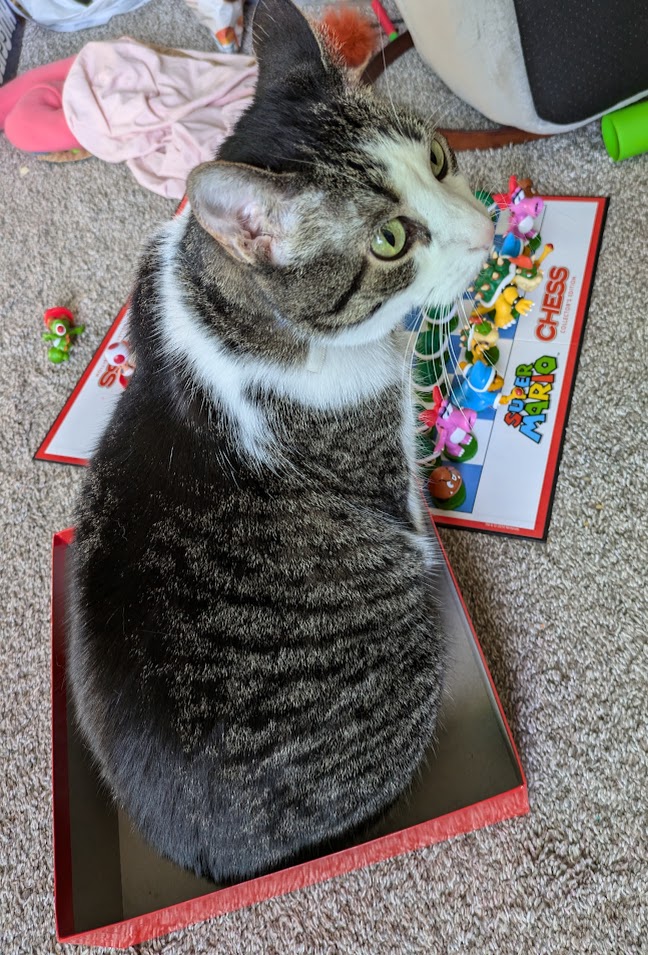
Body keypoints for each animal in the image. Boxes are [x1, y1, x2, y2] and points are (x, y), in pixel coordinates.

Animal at [69, 0, 492, 884]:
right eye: (390, 240)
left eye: (440, 157)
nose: (488, 228)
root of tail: (222, 864)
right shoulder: (384, 462)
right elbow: (415, 513)